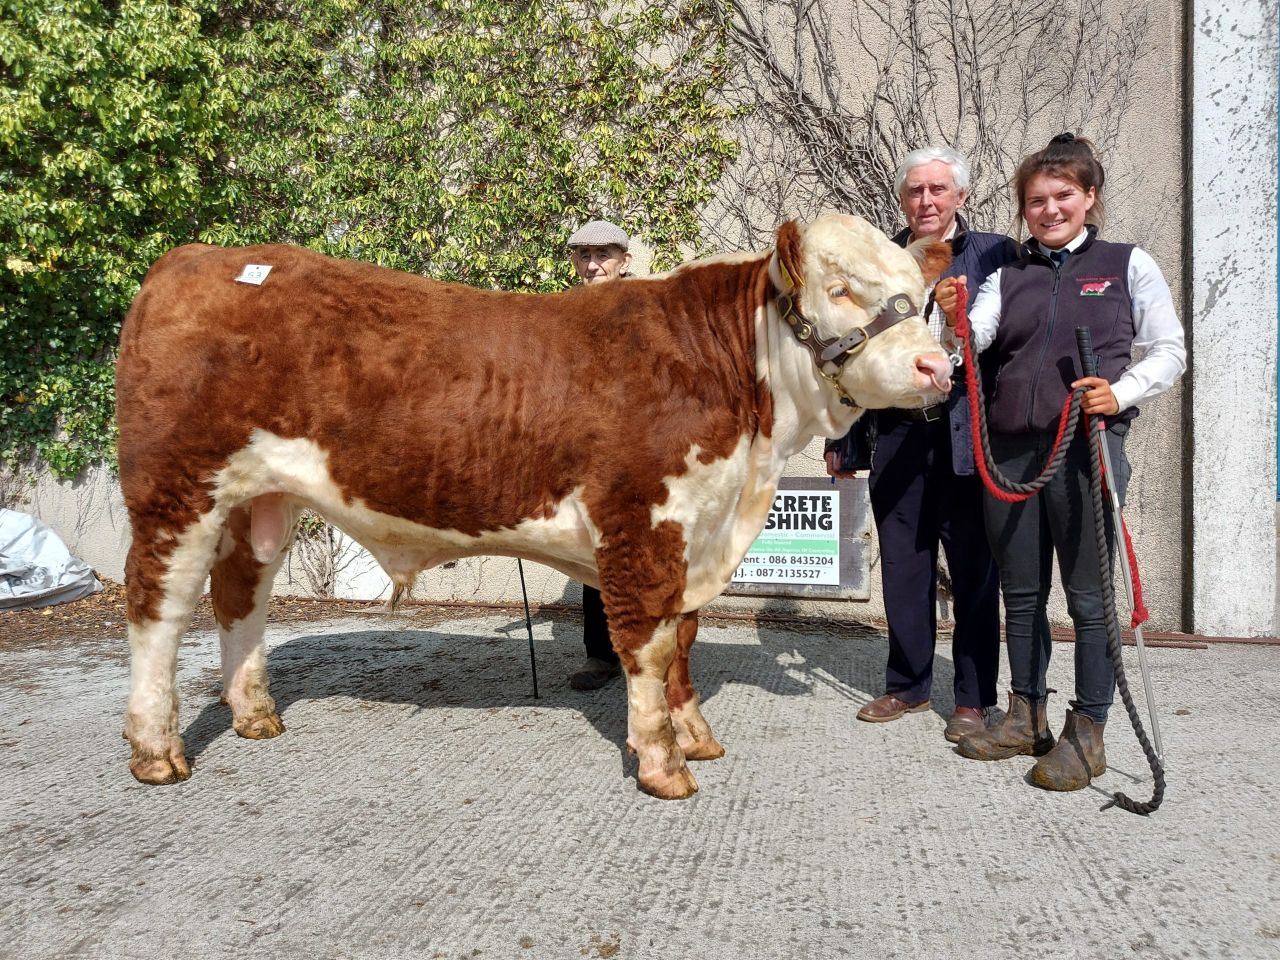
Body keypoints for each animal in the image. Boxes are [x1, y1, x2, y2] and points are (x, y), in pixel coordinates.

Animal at [115, 214, 953, 799]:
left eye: (920, 295)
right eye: (840, 289)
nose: (937, 366)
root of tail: (194, 258)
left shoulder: (697, 532)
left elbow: (682, 640)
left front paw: (695, 734)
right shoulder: (642, 525)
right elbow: (648, 647)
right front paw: (663, 764)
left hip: (262, 499)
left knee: (241, 596)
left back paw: (254, 713)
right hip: (174, 491)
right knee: (158, 608)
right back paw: (156, 751)